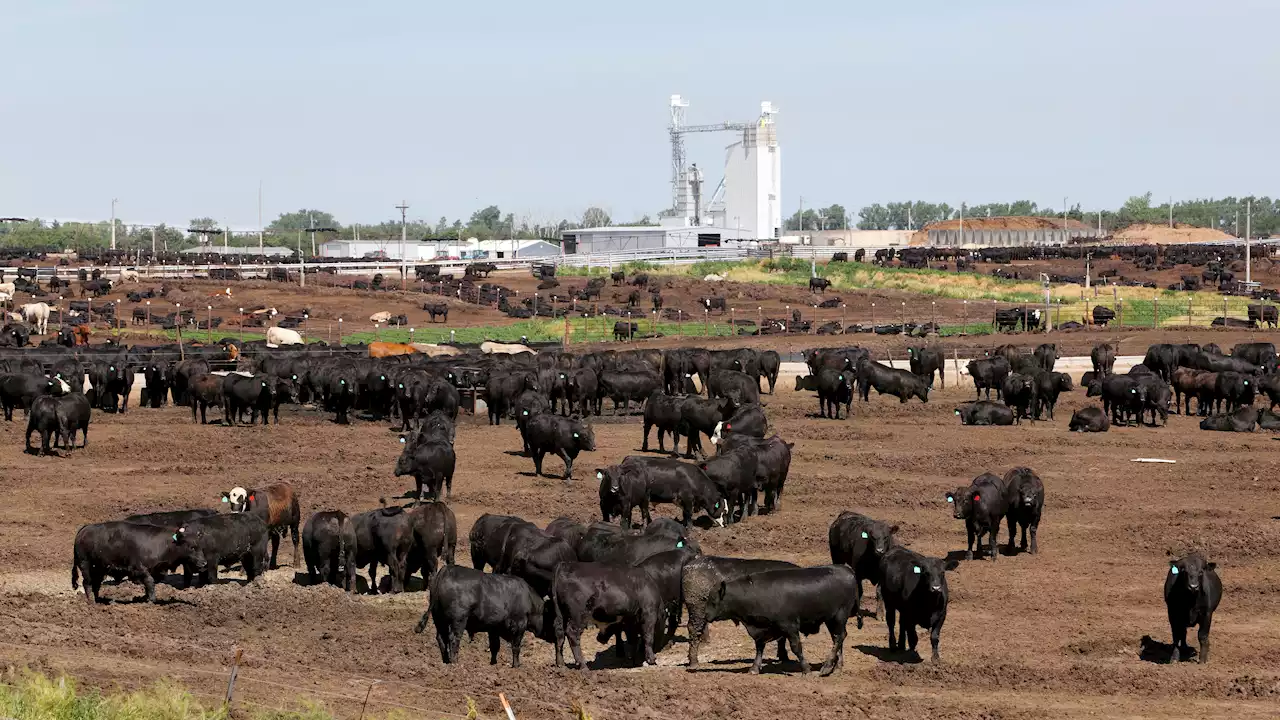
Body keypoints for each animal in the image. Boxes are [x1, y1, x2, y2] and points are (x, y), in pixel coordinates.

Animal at [71, 517, 206, 602]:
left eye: (200, 546)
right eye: (192, 547)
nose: (204, 563)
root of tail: (85, 529)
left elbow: (149, 584)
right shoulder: (140, 568)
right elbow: (150, 582)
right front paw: (151, 600)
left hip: (99, 569)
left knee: (96, 584)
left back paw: (98, 600)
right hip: (85, 565)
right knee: (87, 583)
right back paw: (91, 602)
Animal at [414, 563, 545, 666]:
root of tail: (447, 570)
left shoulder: (494, 627)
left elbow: (495, 646)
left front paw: (494, 664)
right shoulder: (519, 624)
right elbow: (516, 646)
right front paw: (517, 666)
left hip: (439, 618)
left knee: (441, 637)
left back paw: (446, 661)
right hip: (458, 619)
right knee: (453, 638)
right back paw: (455, 662)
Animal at [701, 563, 860, 676]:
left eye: (713, 600)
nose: (706, 615)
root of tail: (847, 569)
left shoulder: (789, 626)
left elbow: (796, 647)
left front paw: (806, 670)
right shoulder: (762, 629)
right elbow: (759, 647)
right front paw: (754, 668)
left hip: (840, 616)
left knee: (839, 637)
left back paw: (826, 667)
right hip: (830, 619)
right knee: (837, 638)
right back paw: (837, 668)